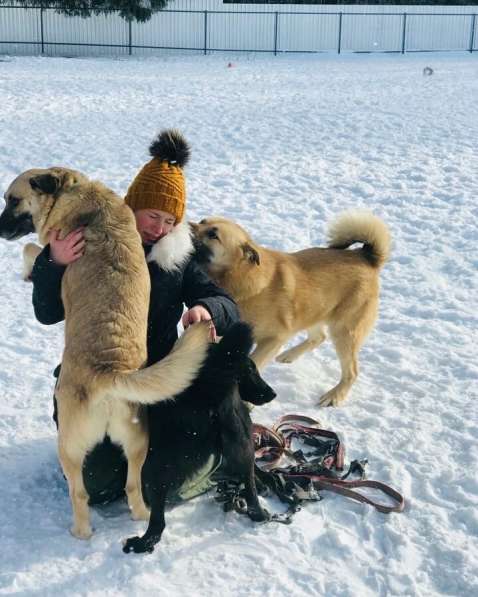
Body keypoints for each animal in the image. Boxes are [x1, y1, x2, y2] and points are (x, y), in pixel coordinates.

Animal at [0, 165, 209, 536]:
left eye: (13, 200)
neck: (75, 194)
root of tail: (109, 373)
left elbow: (32, 249)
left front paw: (27, 270)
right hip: (137, 442)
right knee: (133, 487)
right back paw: (139, 515)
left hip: (69, 446)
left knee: (80, 493)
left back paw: (79, 533)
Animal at [123, 322, 276, 556]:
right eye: (251, 370)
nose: (272, 393)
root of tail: (210, 392)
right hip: (239, 443)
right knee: (249, 485)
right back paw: (258, 512)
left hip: (156, 464)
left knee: (158, 520)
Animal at [192, 212, 390, 408]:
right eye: (203, 221)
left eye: (213, 234)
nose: (188, 224)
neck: (239, 277)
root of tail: (365, 256)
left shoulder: (275, 338)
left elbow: (254, 362)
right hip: (314, 310)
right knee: (319, 337)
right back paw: (289, 355)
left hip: (344, 332)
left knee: (352, 371)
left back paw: (334, 396)